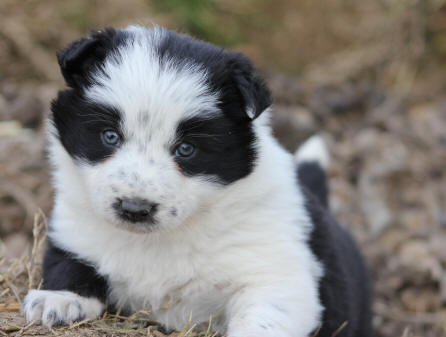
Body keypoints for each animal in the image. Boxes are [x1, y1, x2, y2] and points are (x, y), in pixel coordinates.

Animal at [21, 25, 372, 334]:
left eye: (186, 149)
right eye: (110, 136)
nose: (134, 209)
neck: (157, 240)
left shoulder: (275, 274)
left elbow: (264, 316)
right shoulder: (74, 232)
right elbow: (69, 265)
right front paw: (58, 300)